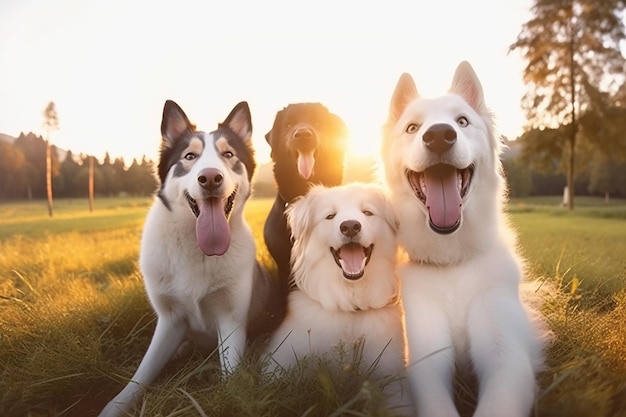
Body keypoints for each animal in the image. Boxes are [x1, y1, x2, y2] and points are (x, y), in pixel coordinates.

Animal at [98, 101, 278, 416]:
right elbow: (141, 374)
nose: (210, 178)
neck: (198, 247)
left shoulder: (231, 319)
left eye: (228, 154)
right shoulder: (170, 320)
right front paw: (115, 406)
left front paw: (232, 400)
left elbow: (231, 374)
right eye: (190, 156)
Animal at [262, 184, 410, 412]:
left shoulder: (393, 376)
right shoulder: (279, 363)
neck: (351, 307)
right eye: (330, 216)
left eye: (368, 212)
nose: (350, 226)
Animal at [378, 61, 544, 416]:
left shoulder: (506, 358)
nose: (440, 135)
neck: (452, 264)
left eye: (462, 121)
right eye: (413, 127)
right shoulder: (426, 359)